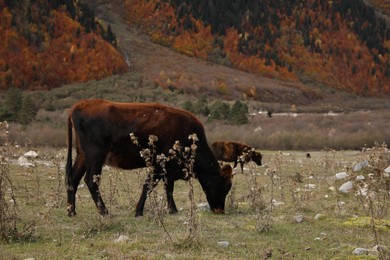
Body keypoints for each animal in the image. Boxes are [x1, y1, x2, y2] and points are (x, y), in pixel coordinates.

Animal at [65, 99, 233, 217]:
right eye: (226, 186)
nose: (220, 210)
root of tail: (80, 105)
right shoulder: (158, 165)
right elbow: (148, 186)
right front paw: (138, 211)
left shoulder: (168, 169)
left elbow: (169, 188)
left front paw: (172, 209)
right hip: (95, 155)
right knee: (91, 181)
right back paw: (104, 211)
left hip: (82, 155)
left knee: (73, 179)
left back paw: (71, 211)